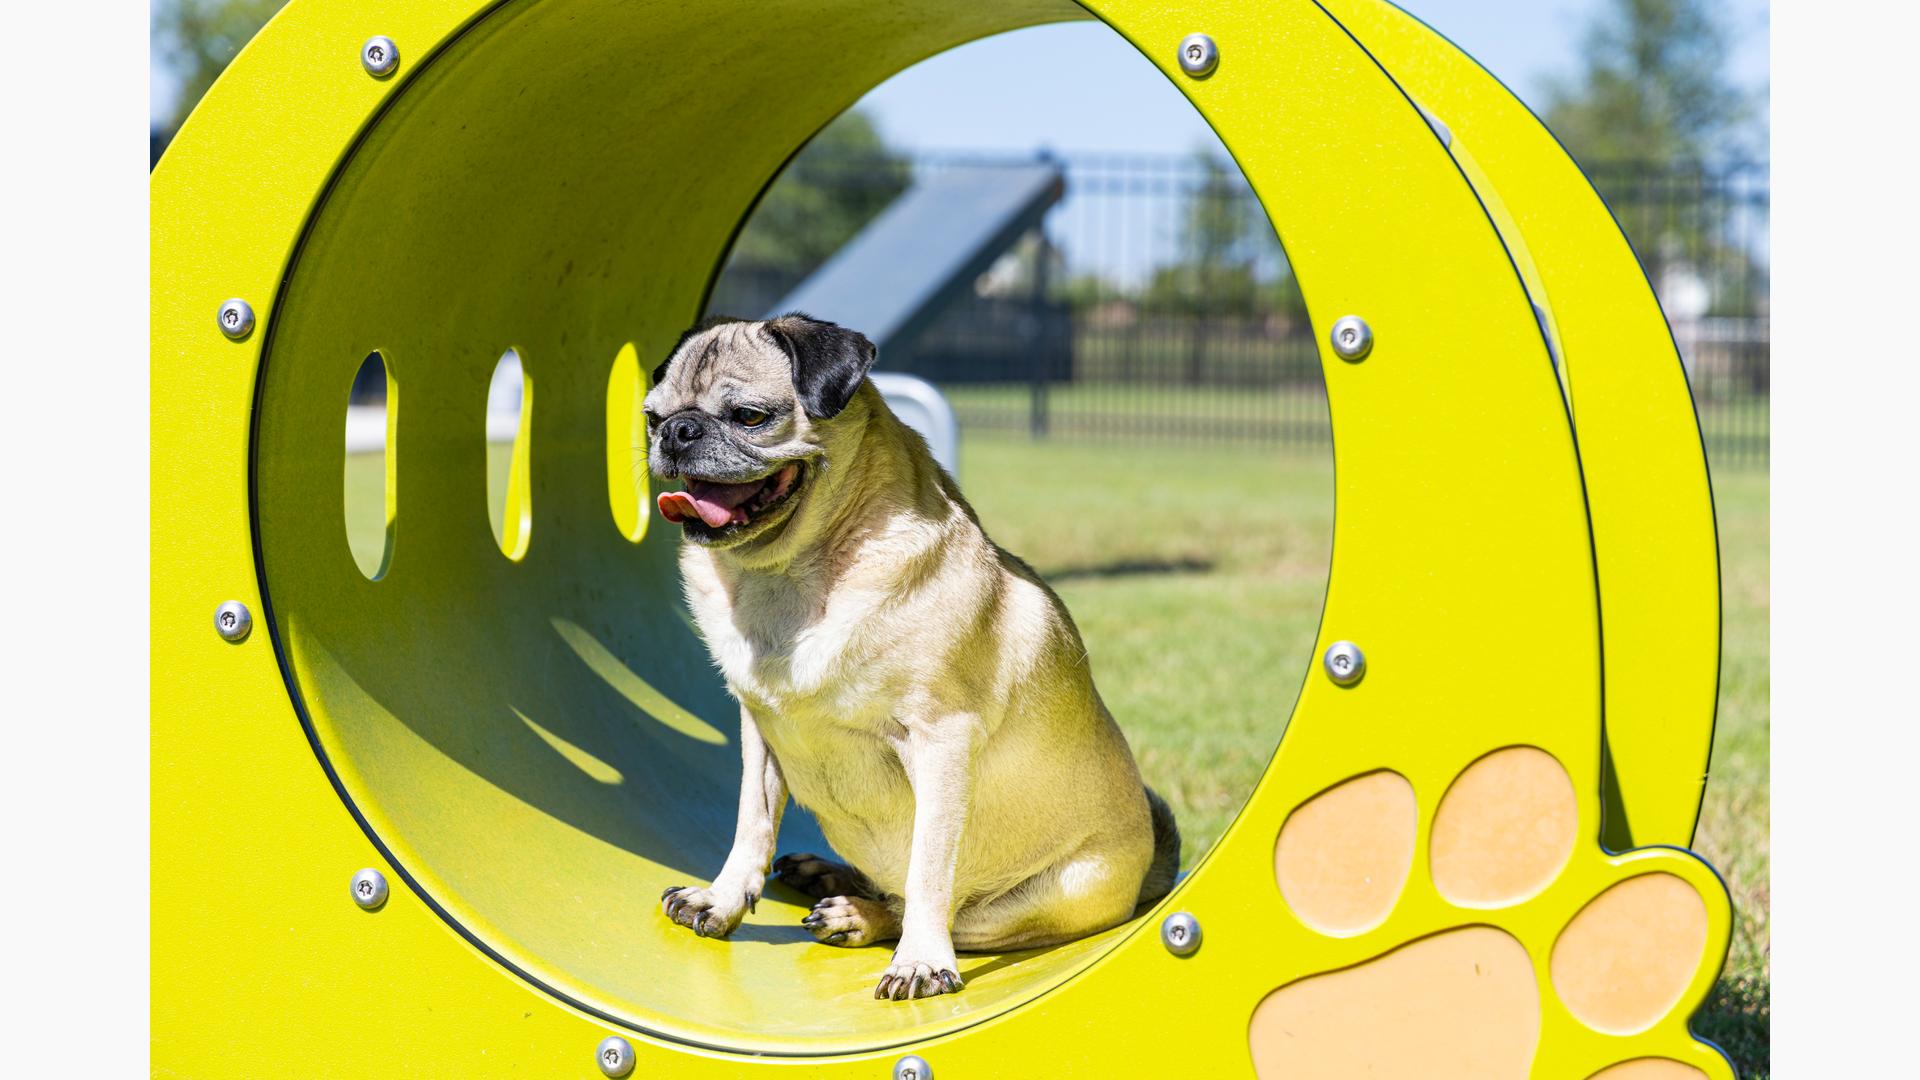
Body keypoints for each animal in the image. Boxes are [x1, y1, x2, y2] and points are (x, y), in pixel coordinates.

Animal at [652, 313, 1175, 999]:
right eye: (654, 417)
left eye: (748, 417)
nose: (678, 432)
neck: (788, 576)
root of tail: (1149, 870)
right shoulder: (760, 731)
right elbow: (751, 824)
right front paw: (722, 899)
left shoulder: (941, 740)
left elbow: (929, 869)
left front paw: (920, 961)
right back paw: (830, 875)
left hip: (1052, 892)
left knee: (934, 907)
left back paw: (860, 915)